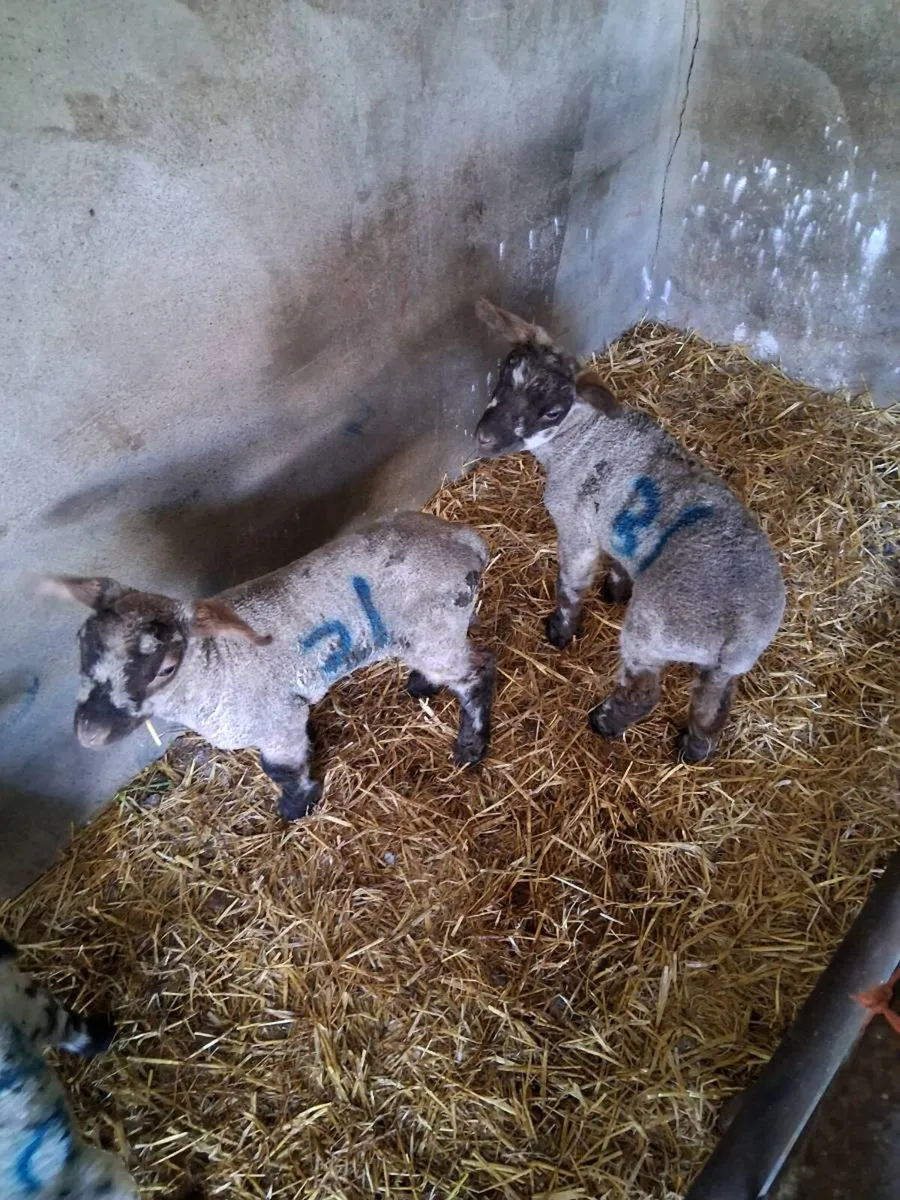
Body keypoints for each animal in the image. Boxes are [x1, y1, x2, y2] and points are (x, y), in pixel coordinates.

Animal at [45, 512, 495, 818]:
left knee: (477, 671)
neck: (216, 668)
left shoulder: (276, 721)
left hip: (435, 628)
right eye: (81, 643)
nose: (89, 732)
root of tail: (462, 537)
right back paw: (422, 684)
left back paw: (470, 745)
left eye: (166, 667)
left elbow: (280, 768)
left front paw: (297, 806)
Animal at [473, 298, 785, 761]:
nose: (483, 438)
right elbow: (619, 561)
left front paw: (560, 632)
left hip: (653, 633)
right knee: (713, 702)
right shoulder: (612, 526)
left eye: (551, 410)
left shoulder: (577, 526)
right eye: (504, 372)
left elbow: (571, 584)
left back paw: (604, 722)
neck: (584, 435)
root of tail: (739, 632)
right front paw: (616, 589)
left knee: (644, 693)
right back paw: (694, 749)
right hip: (724, 666)